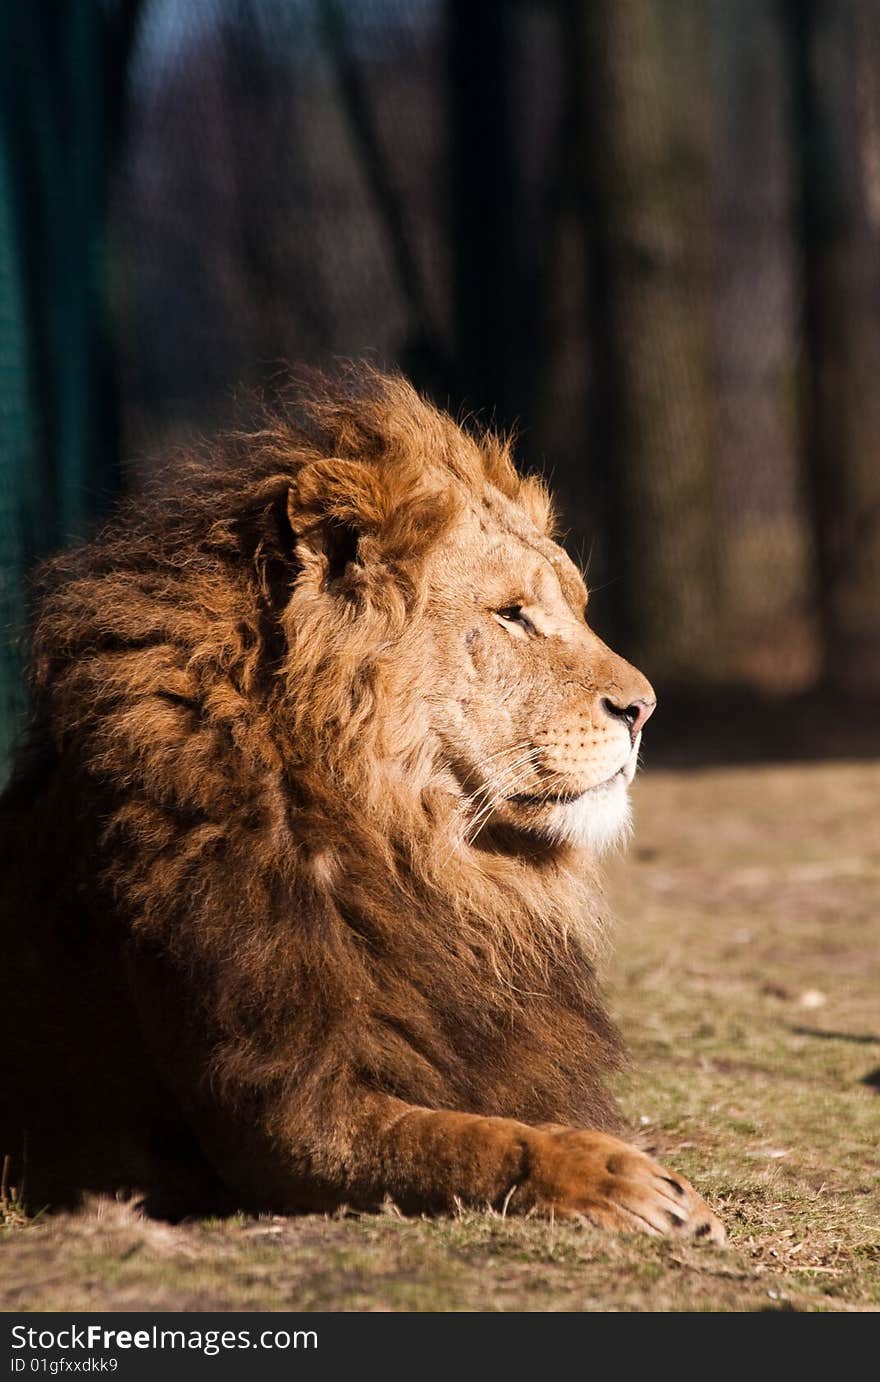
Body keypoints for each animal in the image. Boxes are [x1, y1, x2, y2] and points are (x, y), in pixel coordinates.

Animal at [1, 367, 718, 1243]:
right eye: (511, 614)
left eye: (575, 607)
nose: (644, 709)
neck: (418, 854)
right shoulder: (285, 1118)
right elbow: (472, 1143)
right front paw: (617, 1178)